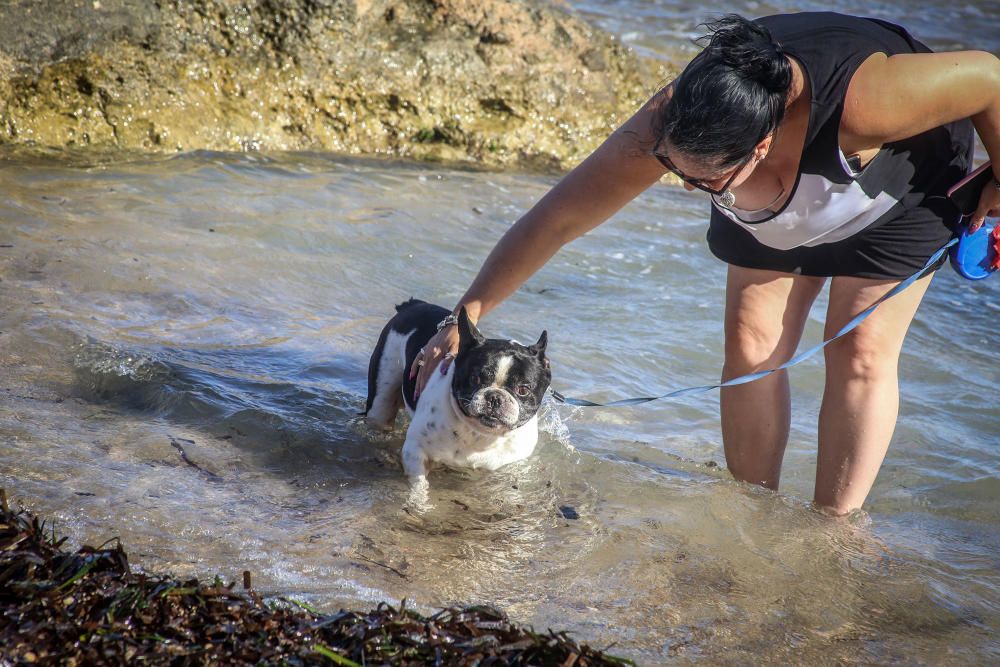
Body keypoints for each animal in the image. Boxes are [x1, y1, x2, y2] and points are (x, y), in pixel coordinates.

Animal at [368, 300, 552, 504]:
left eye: (523, 390)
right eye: (475, 379)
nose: (495, 397)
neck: (481, 436)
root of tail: (414, 304)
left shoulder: (509, 467)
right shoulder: (415, 450)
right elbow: (418, 482)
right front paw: (420, 503)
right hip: (381, 399)